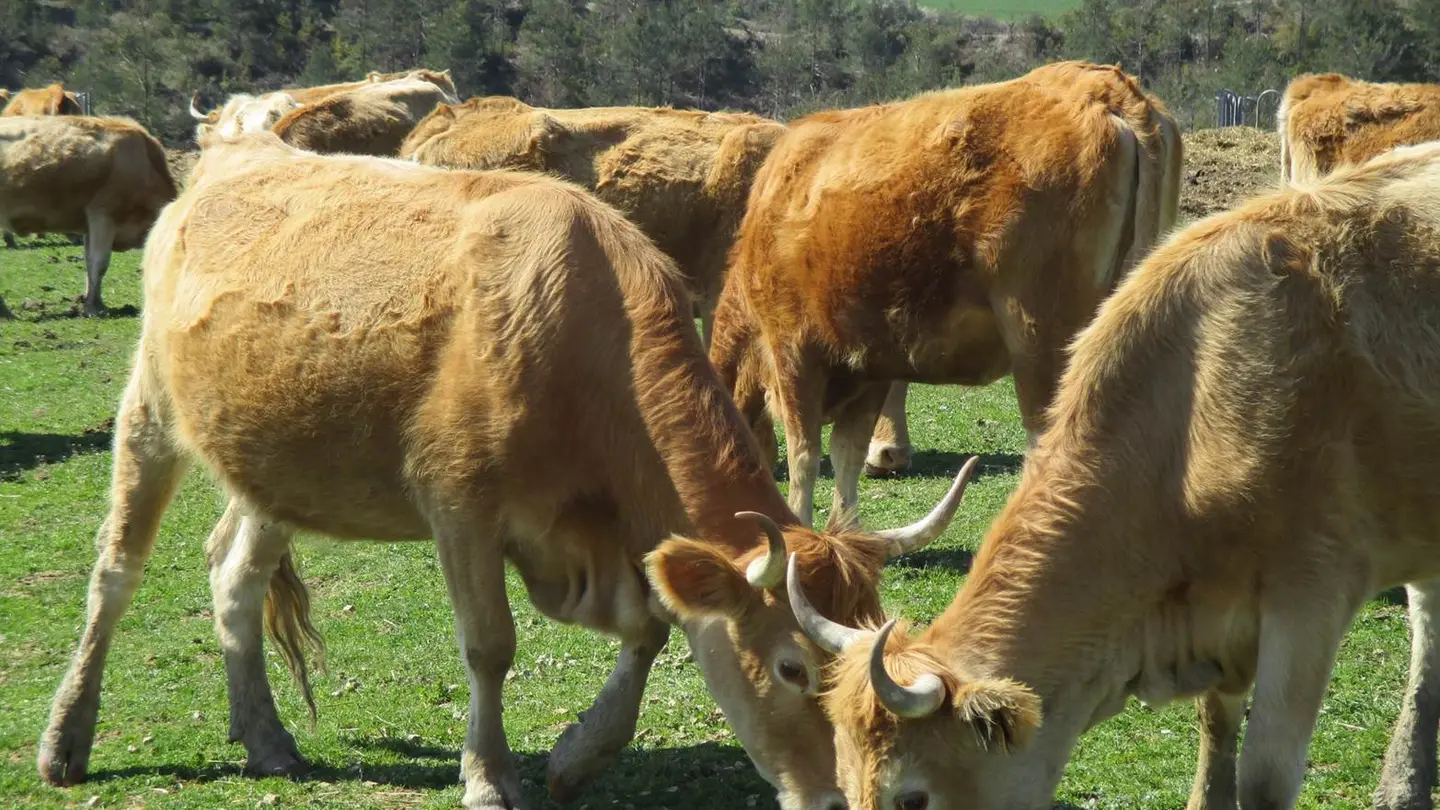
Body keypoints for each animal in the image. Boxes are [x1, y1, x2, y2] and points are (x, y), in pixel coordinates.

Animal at [35, 130, 972, 810]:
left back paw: (265, 736)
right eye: (791, 670)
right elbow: (490, 646)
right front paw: (489, 777)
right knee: (115, 572)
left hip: (278, 462)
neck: (586, 339)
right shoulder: (461, 509)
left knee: (234, 574)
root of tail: (239, 149)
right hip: (150, 413)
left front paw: (577, 755)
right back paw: (66, 740)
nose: (834, 799)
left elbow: (650, 628)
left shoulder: (600, 535)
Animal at [709, 61, 1182, 527]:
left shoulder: (792, 350)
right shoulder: (870, 364)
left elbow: (804, 457)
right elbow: (846, 455)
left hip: (1041, 339)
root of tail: (1104, 86)